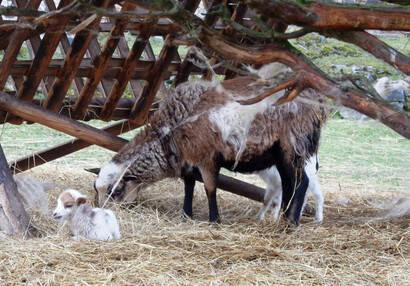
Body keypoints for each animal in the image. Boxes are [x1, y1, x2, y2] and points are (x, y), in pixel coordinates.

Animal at [93, 62, 326, 223]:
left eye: (115, 191)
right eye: (97, 190)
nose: (103, 212)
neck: (170, 131)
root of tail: (316, 99)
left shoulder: (207, 157)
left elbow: (210, 188)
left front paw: (214, 219)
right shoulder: (189, 157)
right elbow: (189, 185)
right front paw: (186, 214)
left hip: (293, 143)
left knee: (300, 183)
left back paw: (290, 223)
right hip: (281, 152)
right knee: (289, 184)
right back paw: (283, 217)